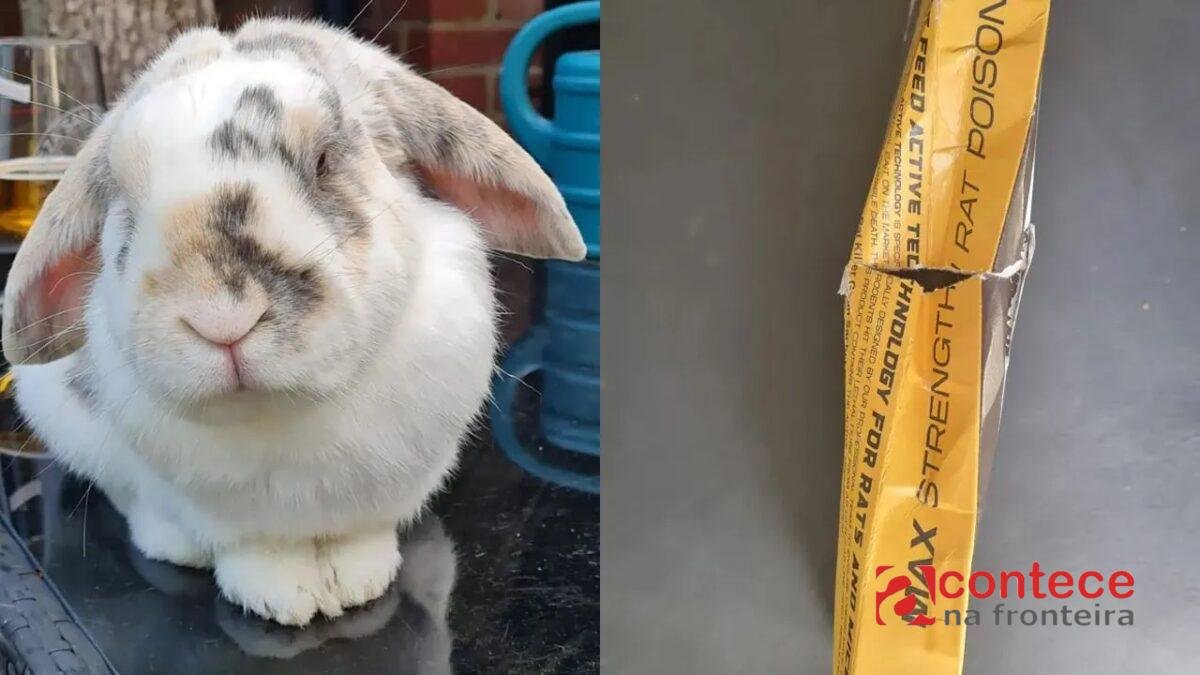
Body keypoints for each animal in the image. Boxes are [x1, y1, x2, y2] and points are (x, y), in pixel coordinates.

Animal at [2, 18, 583, 626]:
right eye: (124, 203)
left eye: (324, 161)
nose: (222, 316)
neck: (283, 415)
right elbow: (253, 551)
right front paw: (283, 596)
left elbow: (360, 538)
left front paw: (358, 579)